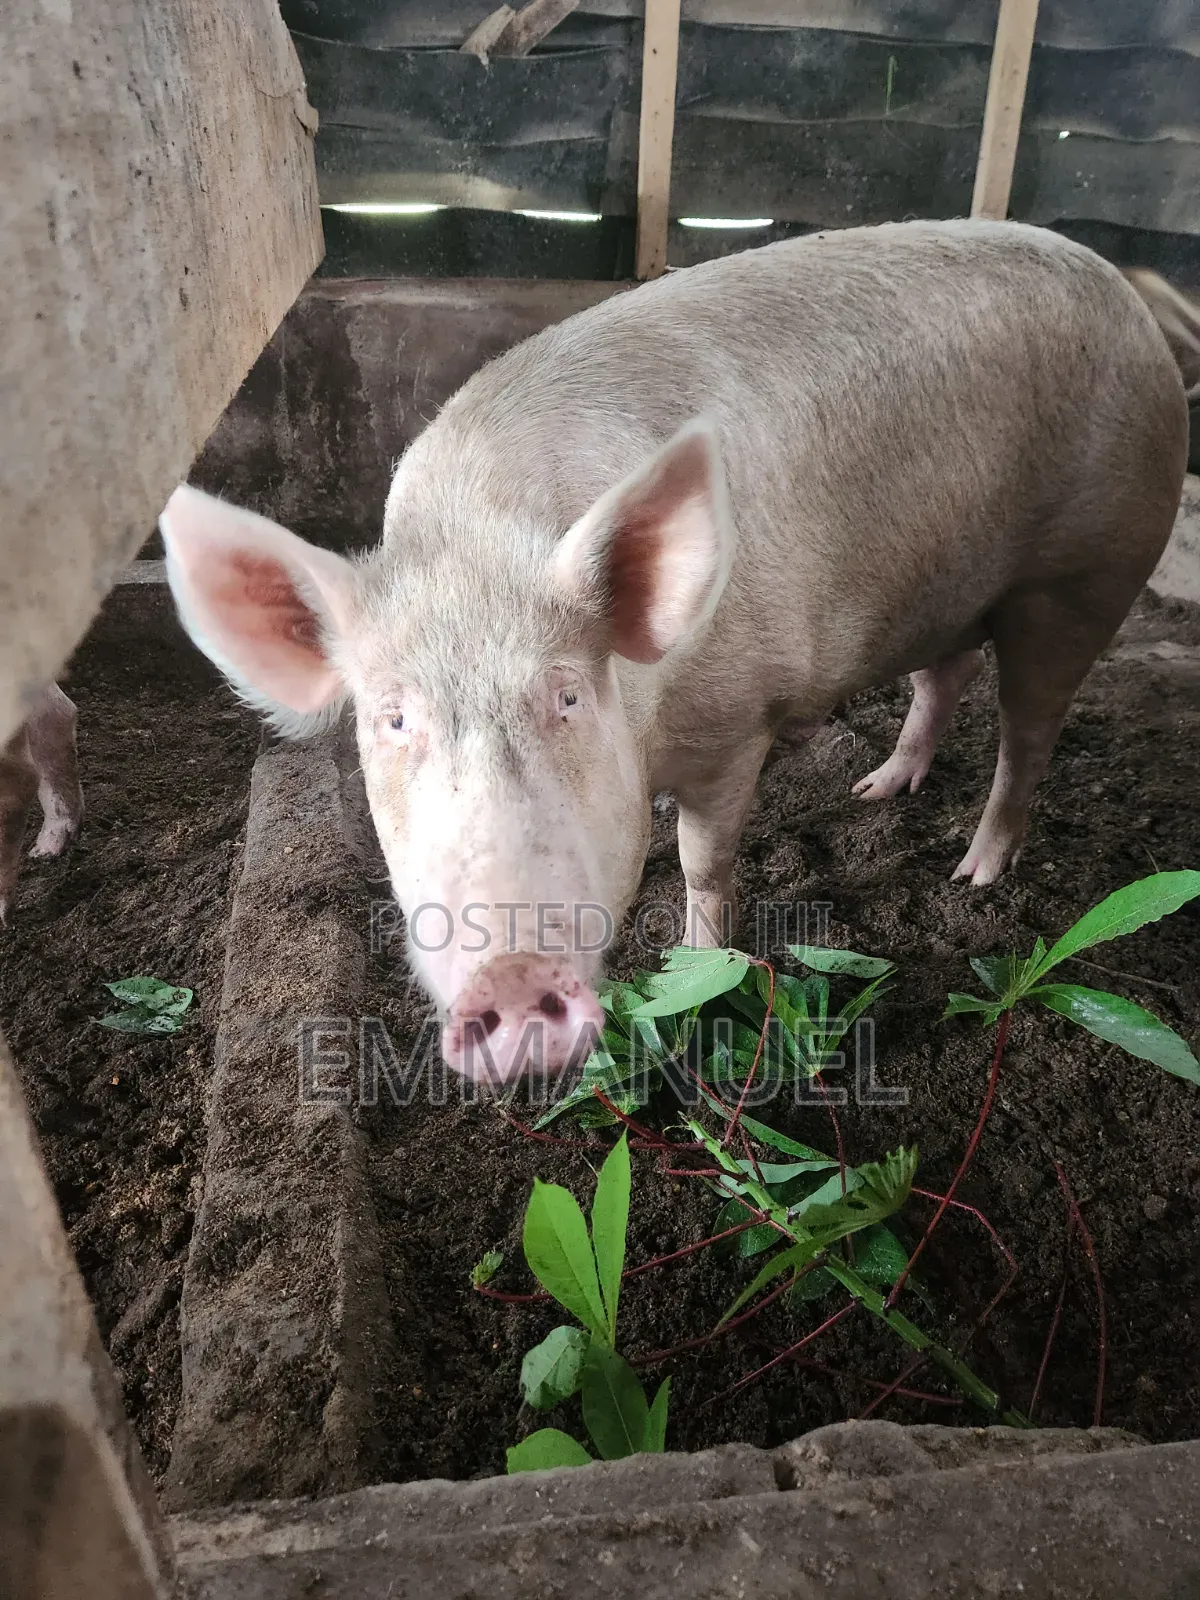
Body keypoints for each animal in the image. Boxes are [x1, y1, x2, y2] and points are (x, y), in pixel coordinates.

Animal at [160, 219, 1187, 1084]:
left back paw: (973, 873)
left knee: (1028, 731)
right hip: (956, 590)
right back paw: (878, 790)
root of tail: (1128, 295)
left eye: (569, 698)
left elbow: (705, 858)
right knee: (946, 675)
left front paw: (698, 961)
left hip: (1085, 575)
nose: (511, 975)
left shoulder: (738, 724)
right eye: (394, 720)